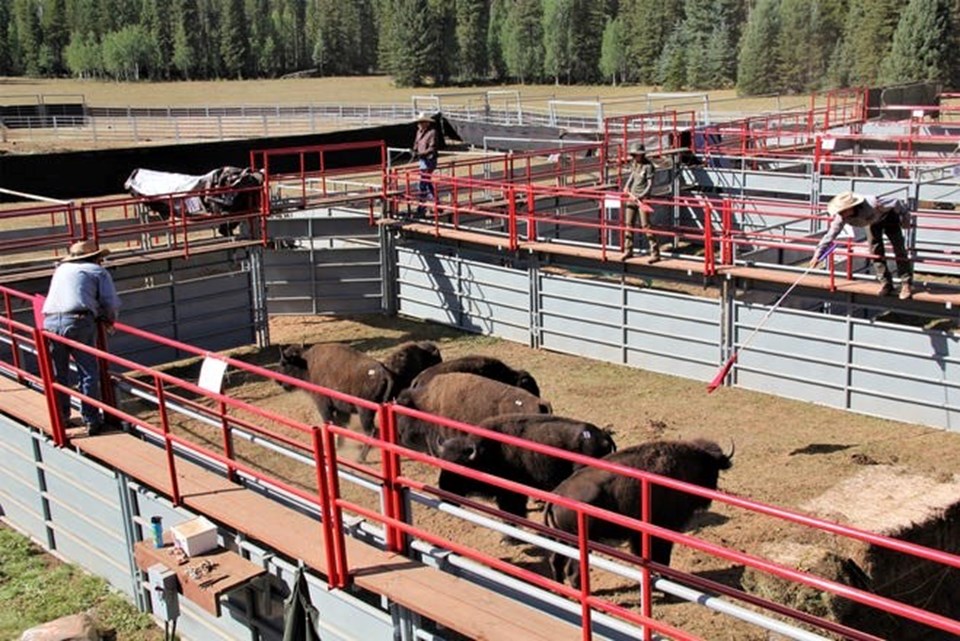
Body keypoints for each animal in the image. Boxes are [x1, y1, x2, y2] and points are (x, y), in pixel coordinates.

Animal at [278, 340, 442, 460]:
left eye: (284, 363)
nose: (278, 381)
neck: (306, 363)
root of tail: (384, 372)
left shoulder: (323, 404)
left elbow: (331, 423)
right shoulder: (342, 409)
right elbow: (340, 425)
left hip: (365, 412)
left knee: (371, 432)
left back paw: (360, 458)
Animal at [548, 438, 736, 588]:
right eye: (712, 469)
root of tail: (556, 496)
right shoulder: (664, 530)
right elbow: (662, 558)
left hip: (561, 539)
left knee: (556, 562)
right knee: (572, 571)